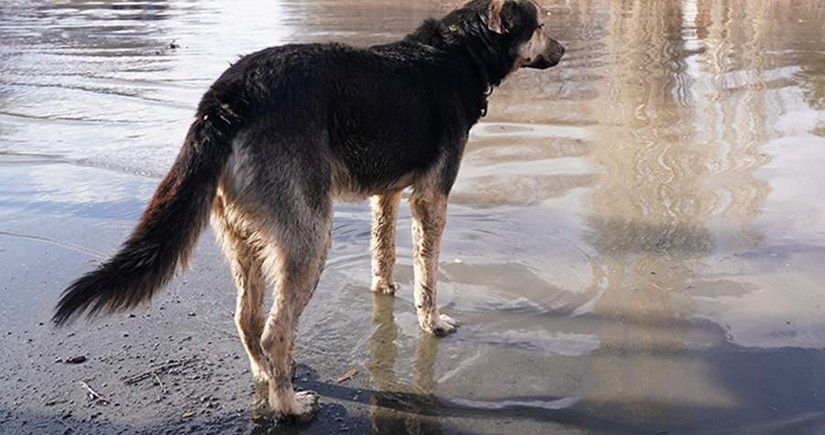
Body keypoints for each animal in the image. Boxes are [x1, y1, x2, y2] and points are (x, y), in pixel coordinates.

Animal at [54, 0, 564, 422]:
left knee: (247, 320)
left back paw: (268, 375)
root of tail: (226, 98)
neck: (462, 51)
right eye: (540, 25)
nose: (562, 50)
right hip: (310, 238)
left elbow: (383, 249)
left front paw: (383, 287)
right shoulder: (431, 198)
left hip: (242, 237)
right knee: (274, 330)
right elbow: (428, 275)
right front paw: (432, 323)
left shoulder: (386, 195)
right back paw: (289, 405)